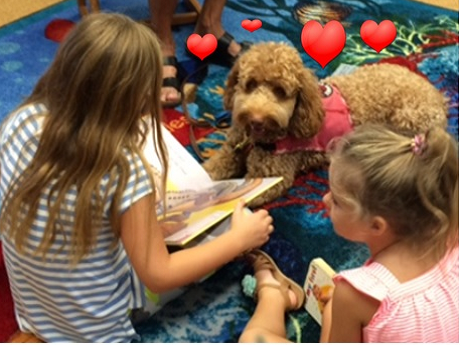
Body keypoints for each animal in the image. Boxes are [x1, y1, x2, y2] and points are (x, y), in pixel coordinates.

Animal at [203, 41, 448, 206]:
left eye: (280, 91)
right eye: (250, 84)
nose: (256, 119)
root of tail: (439, 98)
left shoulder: (271, 176)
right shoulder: (229, 151)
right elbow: (209, 171)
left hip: (407, 120)